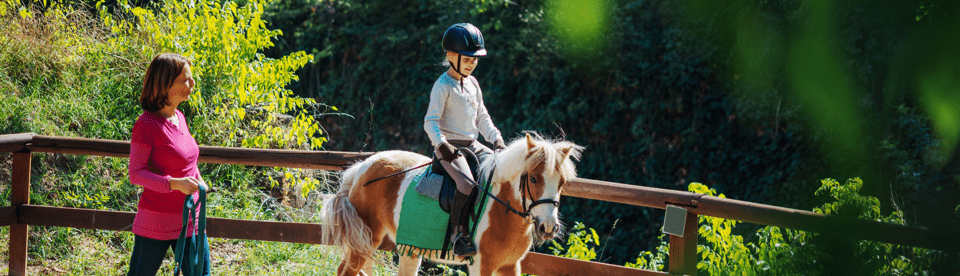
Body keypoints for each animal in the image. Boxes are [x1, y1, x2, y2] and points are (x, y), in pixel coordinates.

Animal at [322, 133, 580, 274]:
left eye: (562, 182)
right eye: (533, 179)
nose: (548, 228)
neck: (502, 211)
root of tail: (361, 167)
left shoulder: (510, 266)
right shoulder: (481, 266)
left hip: (403, 249)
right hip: (366, 240)